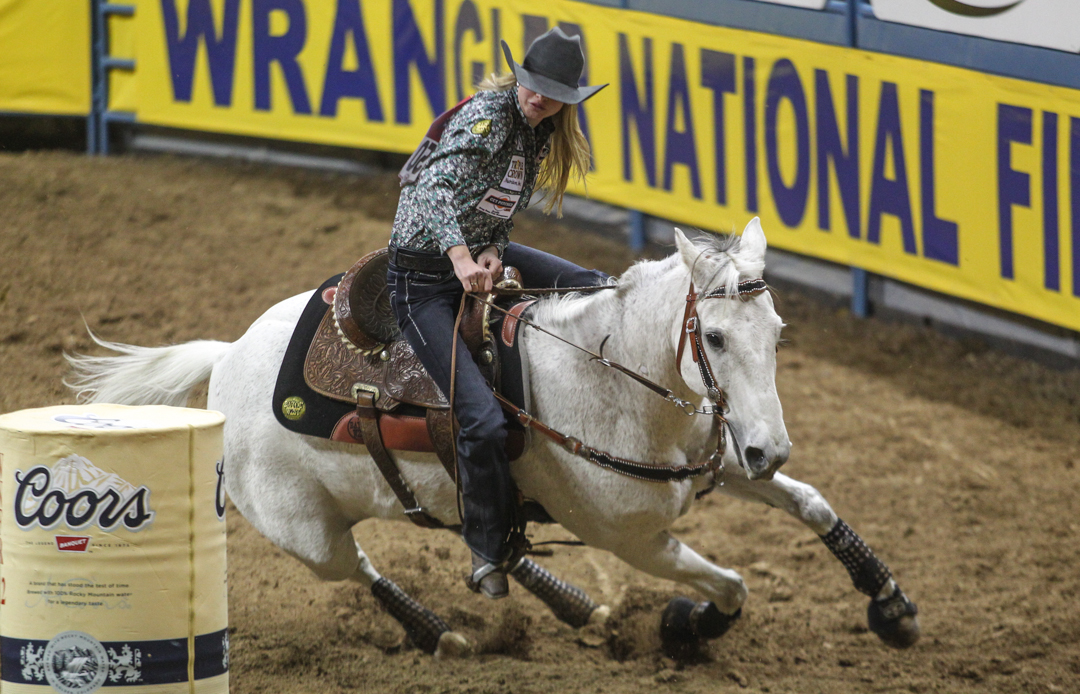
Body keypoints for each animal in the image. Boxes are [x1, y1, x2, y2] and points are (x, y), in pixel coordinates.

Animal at [65, 221, 920, 656]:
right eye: (711, 335)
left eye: (776, 331)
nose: (769, 448)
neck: (618, 387)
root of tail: (227, 358)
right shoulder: (631, 537)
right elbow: (733, 584)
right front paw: (688, 626)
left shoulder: (714, 461)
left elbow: (813, 504)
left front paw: (889, 604)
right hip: (303, 530)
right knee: (362, 567)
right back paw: (442, 632)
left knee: (488, 539)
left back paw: (569, 605)